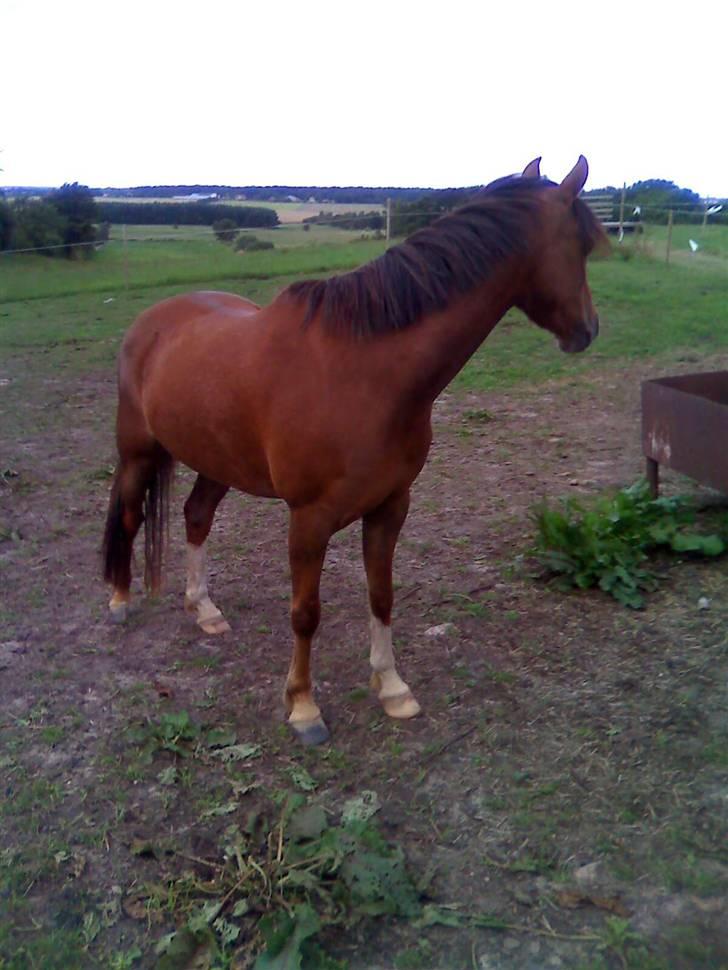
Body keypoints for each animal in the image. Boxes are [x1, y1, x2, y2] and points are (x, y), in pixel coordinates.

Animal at [102, 155, 604, 745]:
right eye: (581, 244)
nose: (587, 330)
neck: (366, 374)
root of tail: (151, 320)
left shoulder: (391, 505)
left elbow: (381, 595)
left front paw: (393, 689)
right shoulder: (309, 518)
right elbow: (305, 612)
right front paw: (303, 708)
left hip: (217, 459)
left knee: (196, 516)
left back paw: (203, 608)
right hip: (138, 451)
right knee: (130, 515)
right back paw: (119, 601)